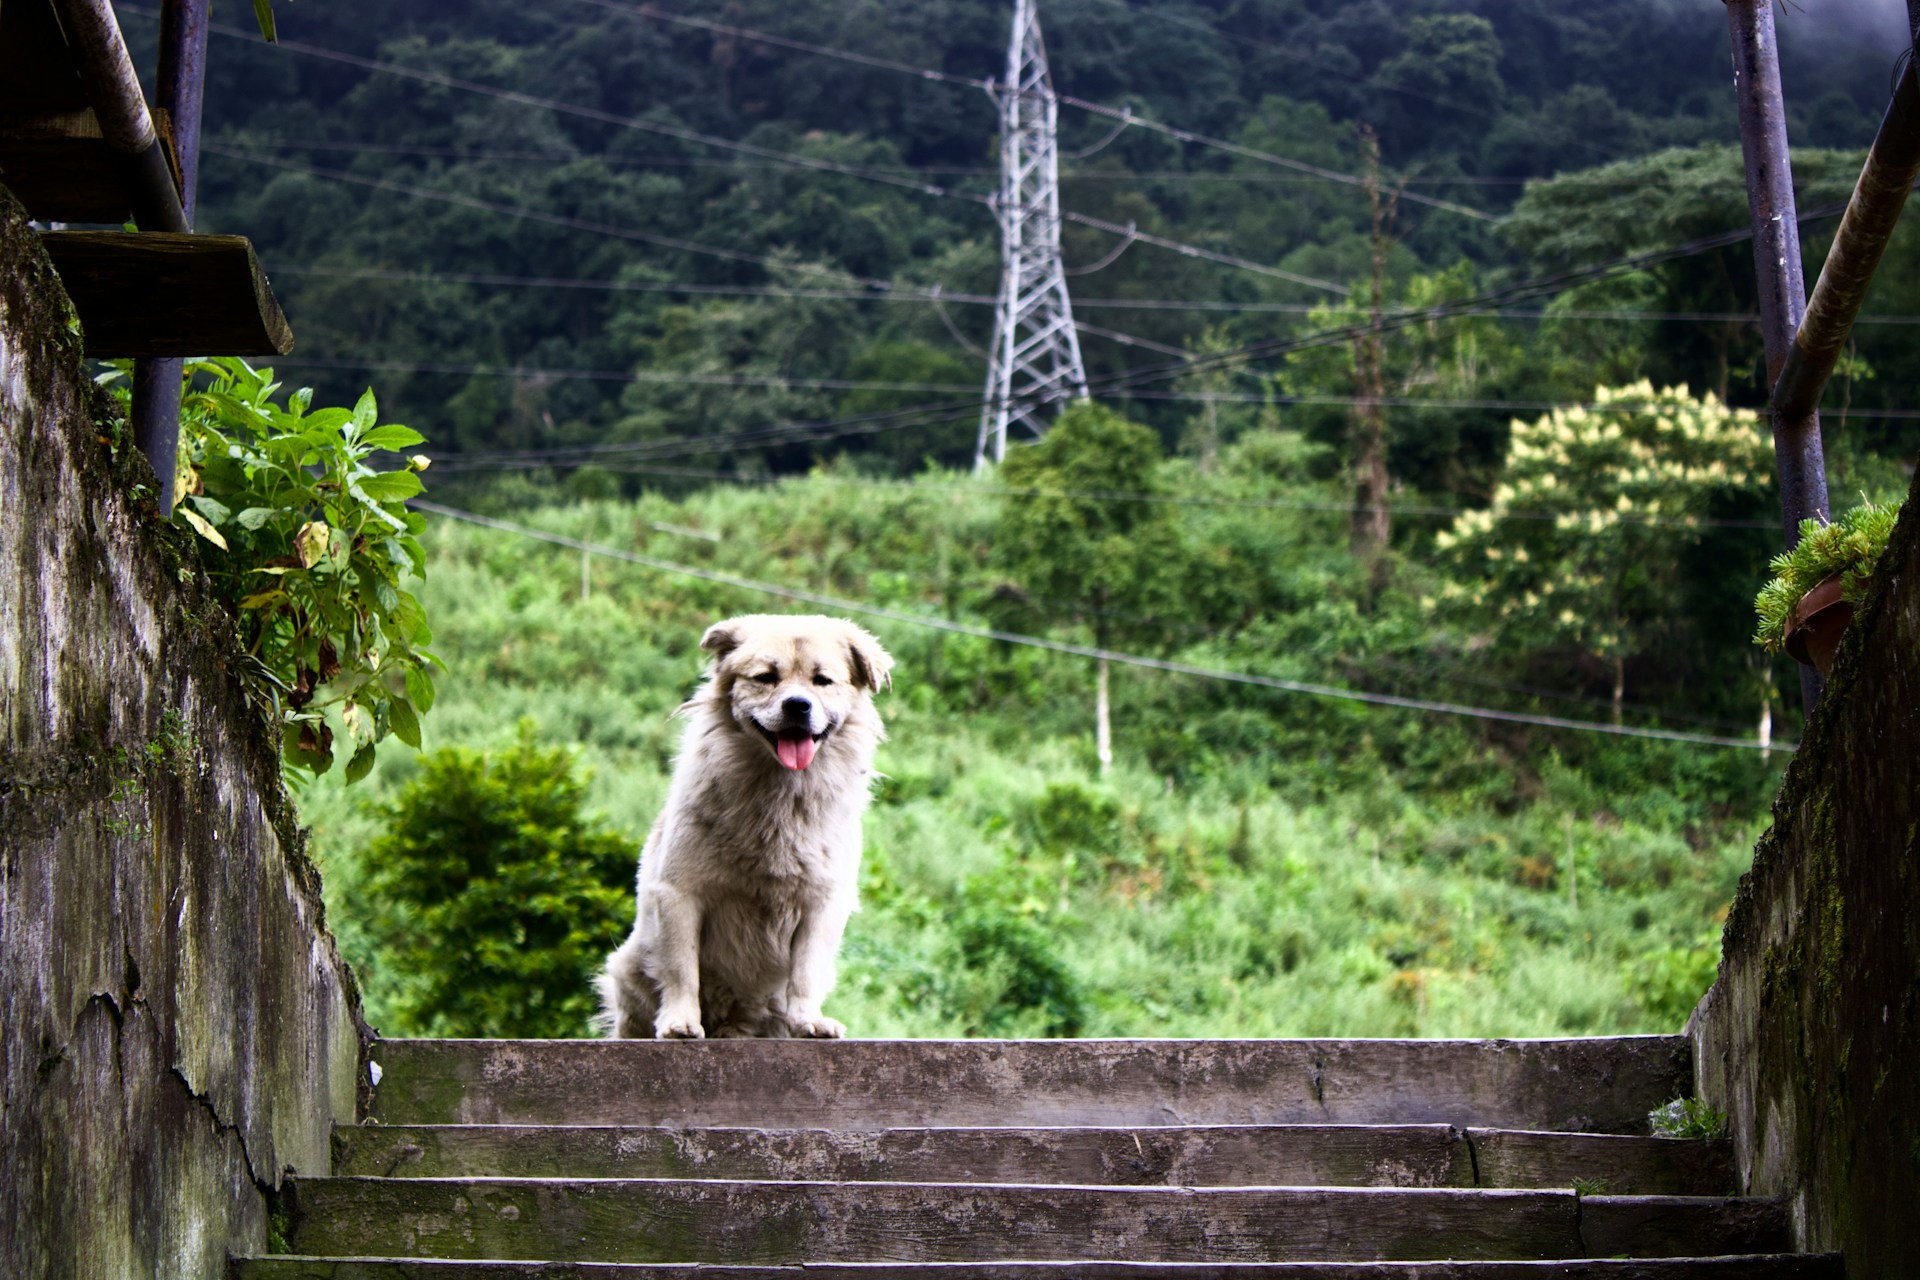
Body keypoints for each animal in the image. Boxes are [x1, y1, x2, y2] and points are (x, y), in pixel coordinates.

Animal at [599, 614, 890, 1043]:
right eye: (766, 678)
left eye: (822, 681)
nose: (798, 705)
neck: (780, 793)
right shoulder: (679, 892)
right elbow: (682, 969)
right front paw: (680, 1022)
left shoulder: (822, 903)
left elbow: (806, 971)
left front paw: (808, 1020)